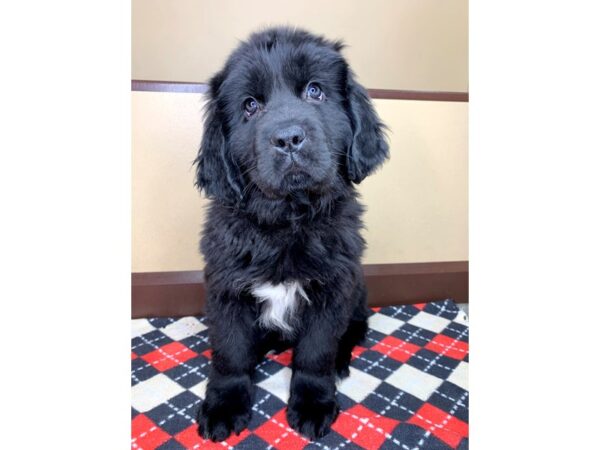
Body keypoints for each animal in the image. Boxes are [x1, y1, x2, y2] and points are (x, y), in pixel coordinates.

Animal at [192, 26, 390, 442]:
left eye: (315, 91)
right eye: (250, 106)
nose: (288, 139)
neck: (287, 221)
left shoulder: (333, 290)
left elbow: (315, 353)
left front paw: (313, 403)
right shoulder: (226, 289)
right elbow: (229, 354)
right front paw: (224, 405)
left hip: (357, 290)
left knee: (354, 328)